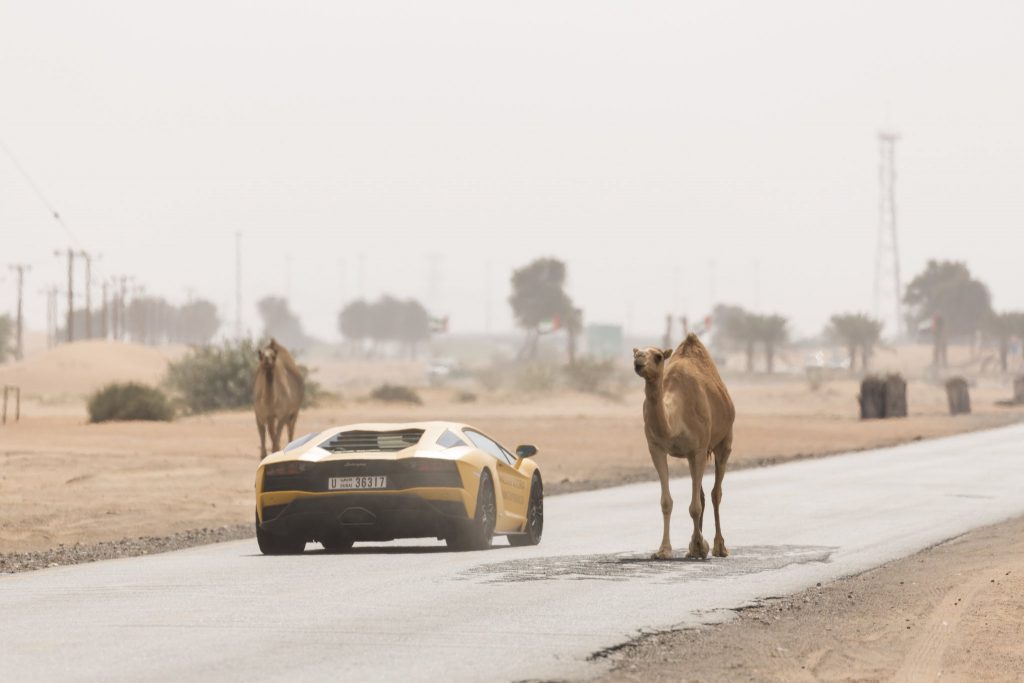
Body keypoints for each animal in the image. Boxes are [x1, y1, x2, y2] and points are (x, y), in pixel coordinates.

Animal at [630, 331, 737, 561]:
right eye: (636, 352)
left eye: (658, 356)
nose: (639, 360)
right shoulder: (656, 448)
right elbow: (666, 502)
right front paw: (664, 550)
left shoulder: (698, 449)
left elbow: (695, 507)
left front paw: (701, 546)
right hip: (691, 456)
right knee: (703, 495)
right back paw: (694, 547)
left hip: (724, 442)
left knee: (715, 493)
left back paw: (720, 547)